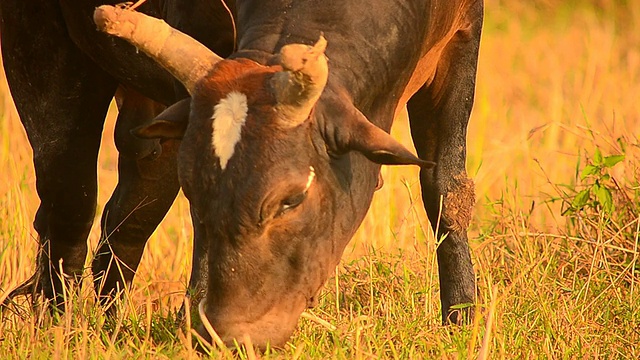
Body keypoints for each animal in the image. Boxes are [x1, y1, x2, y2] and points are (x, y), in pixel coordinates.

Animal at [90, 0, 482, 348]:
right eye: (196, 193)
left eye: (292, 200)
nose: (231, 335)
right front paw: (192, 321)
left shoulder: (463, 37)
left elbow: (446, 190)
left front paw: (461, 316)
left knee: (131, 212)